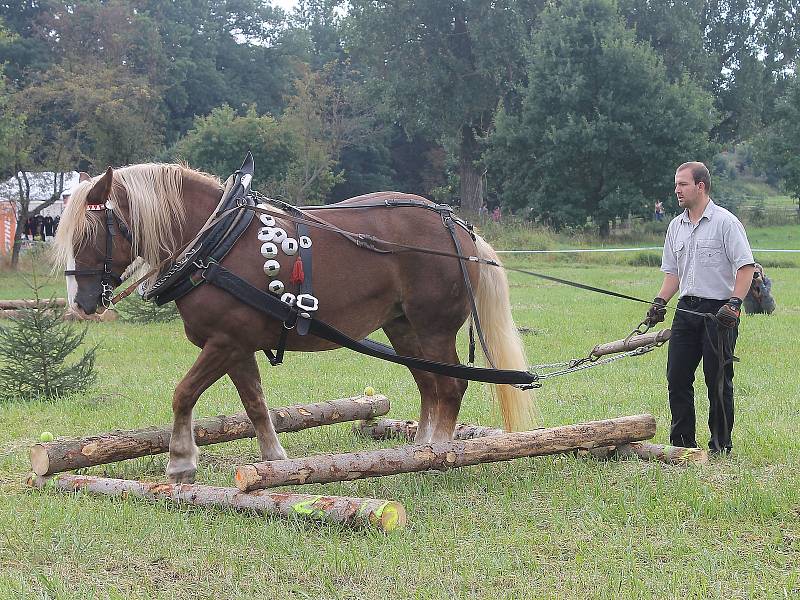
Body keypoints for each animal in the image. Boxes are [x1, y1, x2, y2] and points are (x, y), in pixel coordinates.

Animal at [53, 163, 536, 482]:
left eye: (89, 232)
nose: (80, 304)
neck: (215, 241)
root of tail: (459, 227)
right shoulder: (236, 346)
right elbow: (255, 403)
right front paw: (275, 459)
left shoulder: (225, 341)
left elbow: (183, 393)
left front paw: (181, 460)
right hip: (403, 327)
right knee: (430, 385)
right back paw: (417, 452)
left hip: (434, 326)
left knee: (451, 386)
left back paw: (437, 456)